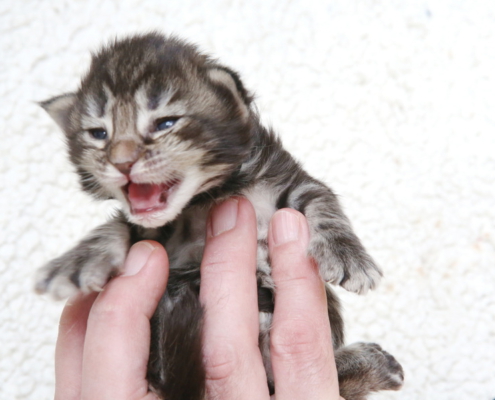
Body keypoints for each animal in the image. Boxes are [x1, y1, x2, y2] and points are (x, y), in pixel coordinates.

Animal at [35, 33, 404, 400]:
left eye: (165, 123)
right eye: (98, 133)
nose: (121, 162)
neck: (209, 195)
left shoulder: (289, 179)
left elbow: (323, 204)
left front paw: (347, 254)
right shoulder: (154, 232)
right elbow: (118, 226)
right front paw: (79, 259)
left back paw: (372, 364)